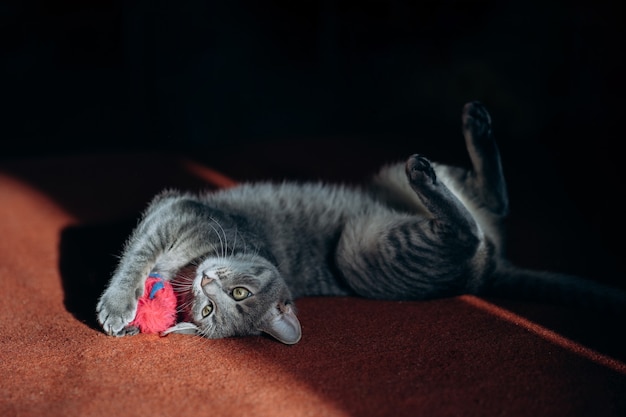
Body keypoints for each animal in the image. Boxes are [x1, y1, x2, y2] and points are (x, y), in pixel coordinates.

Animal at [96, 101, 624, 344]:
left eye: (238, 296)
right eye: (208, 310)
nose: (206, 285)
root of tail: (489, 275)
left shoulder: (181, 210)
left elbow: (136, 255)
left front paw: (117, 306)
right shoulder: (170, 213)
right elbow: (137, 254)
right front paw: (125, 303)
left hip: (359, 249)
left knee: (473, 227)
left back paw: (436, 163)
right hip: (395, 181)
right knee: (491, 204)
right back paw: (474, 125)